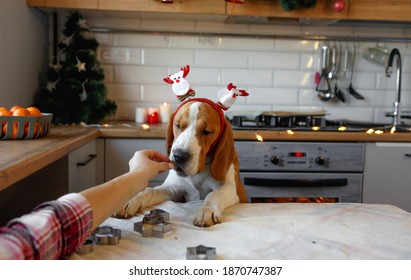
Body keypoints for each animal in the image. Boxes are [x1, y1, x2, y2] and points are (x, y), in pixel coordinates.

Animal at [114, 97, 246, 226]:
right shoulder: (172, 189)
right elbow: (150, 190)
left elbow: (213, 195)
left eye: (206, 131)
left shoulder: (228, 188)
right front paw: (131, 199)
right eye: (177, 125)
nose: (179, 156)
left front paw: (206, 210)